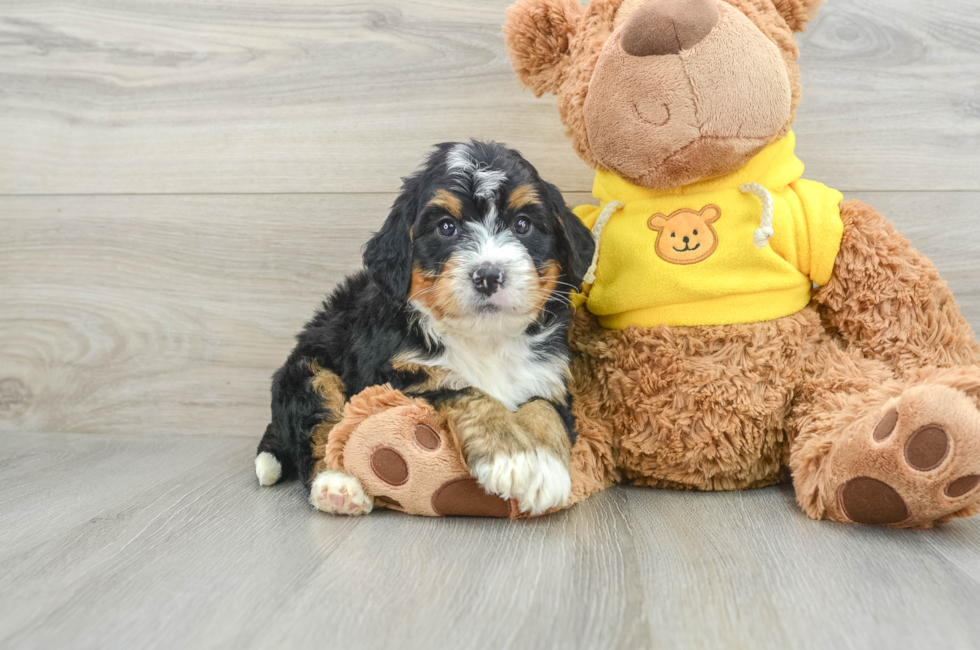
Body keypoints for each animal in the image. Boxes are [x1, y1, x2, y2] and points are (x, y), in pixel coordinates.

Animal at [253, 142, 592, 516]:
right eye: (446, 227)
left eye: (522, 224)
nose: (488, 275)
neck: (484, 338)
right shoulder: (398, 376)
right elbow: (463, 388)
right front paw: (511, 458)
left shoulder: (550, 375)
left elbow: (544, 409)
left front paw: (547, 469)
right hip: (309, 371)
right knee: (318, 427)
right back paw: (336, 486)